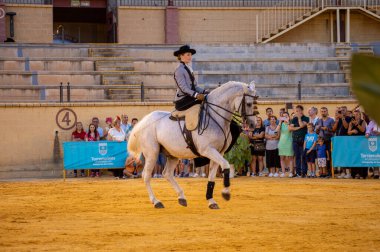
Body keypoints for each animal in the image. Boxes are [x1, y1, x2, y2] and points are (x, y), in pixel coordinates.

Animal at [129, 80, 256, 209]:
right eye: (249, 104)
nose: (252, 125)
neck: (215, 118)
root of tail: (144, 120)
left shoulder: (218, 152)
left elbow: (212, 176)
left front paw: (211, 201)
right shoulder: (208, 150)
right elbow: (226, 165)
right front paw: (226, 193)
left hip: (172, 155)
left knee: (167, 173)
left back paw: (181, 197)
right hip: (152, 153)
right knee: (146, 175)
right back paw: (156, 201)